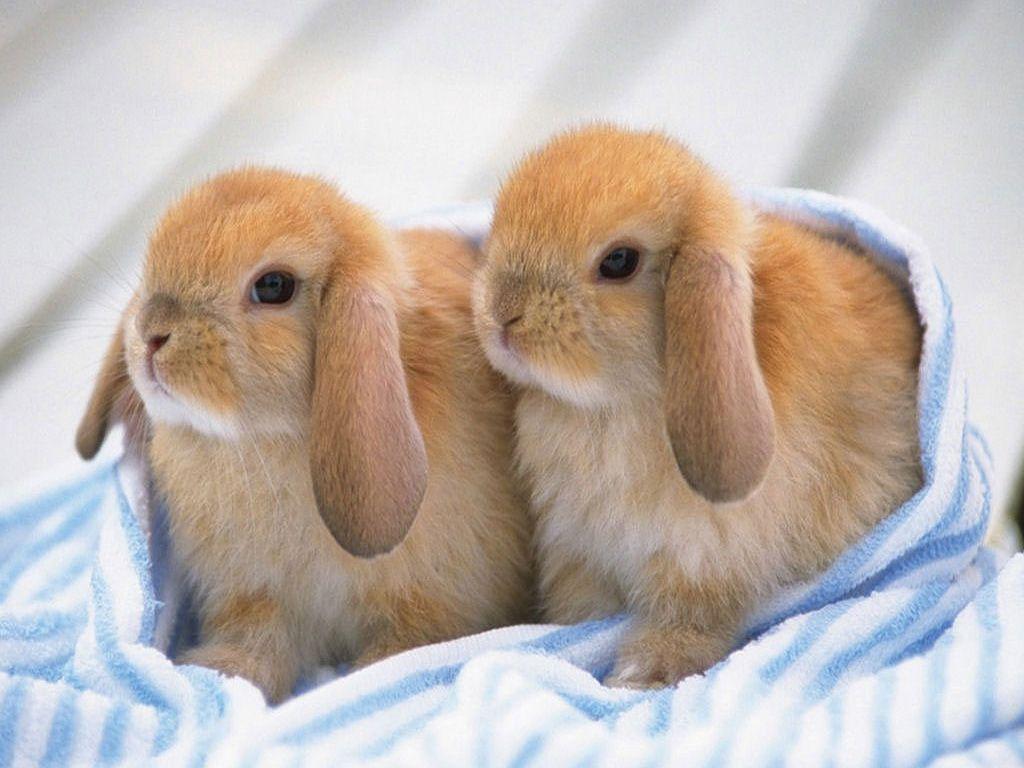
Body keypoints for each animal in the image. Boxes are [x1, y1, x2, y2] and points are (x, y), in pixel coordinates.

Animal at [76, 167, 533, 703]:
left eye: (273, 285)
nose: (151, 334)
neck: (272, 440)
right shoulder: (257, 598)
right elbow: (259, 647)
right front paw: (217, 670)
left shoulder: (432, 604)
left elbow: (398, 651)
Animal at [472, 125, 923, 688]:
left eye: (618, 261)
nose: (502, 315)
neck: (616, 405)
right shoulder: (578, 547)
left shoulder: (702, 558)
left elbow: (692, 618)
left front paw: (644, 671)